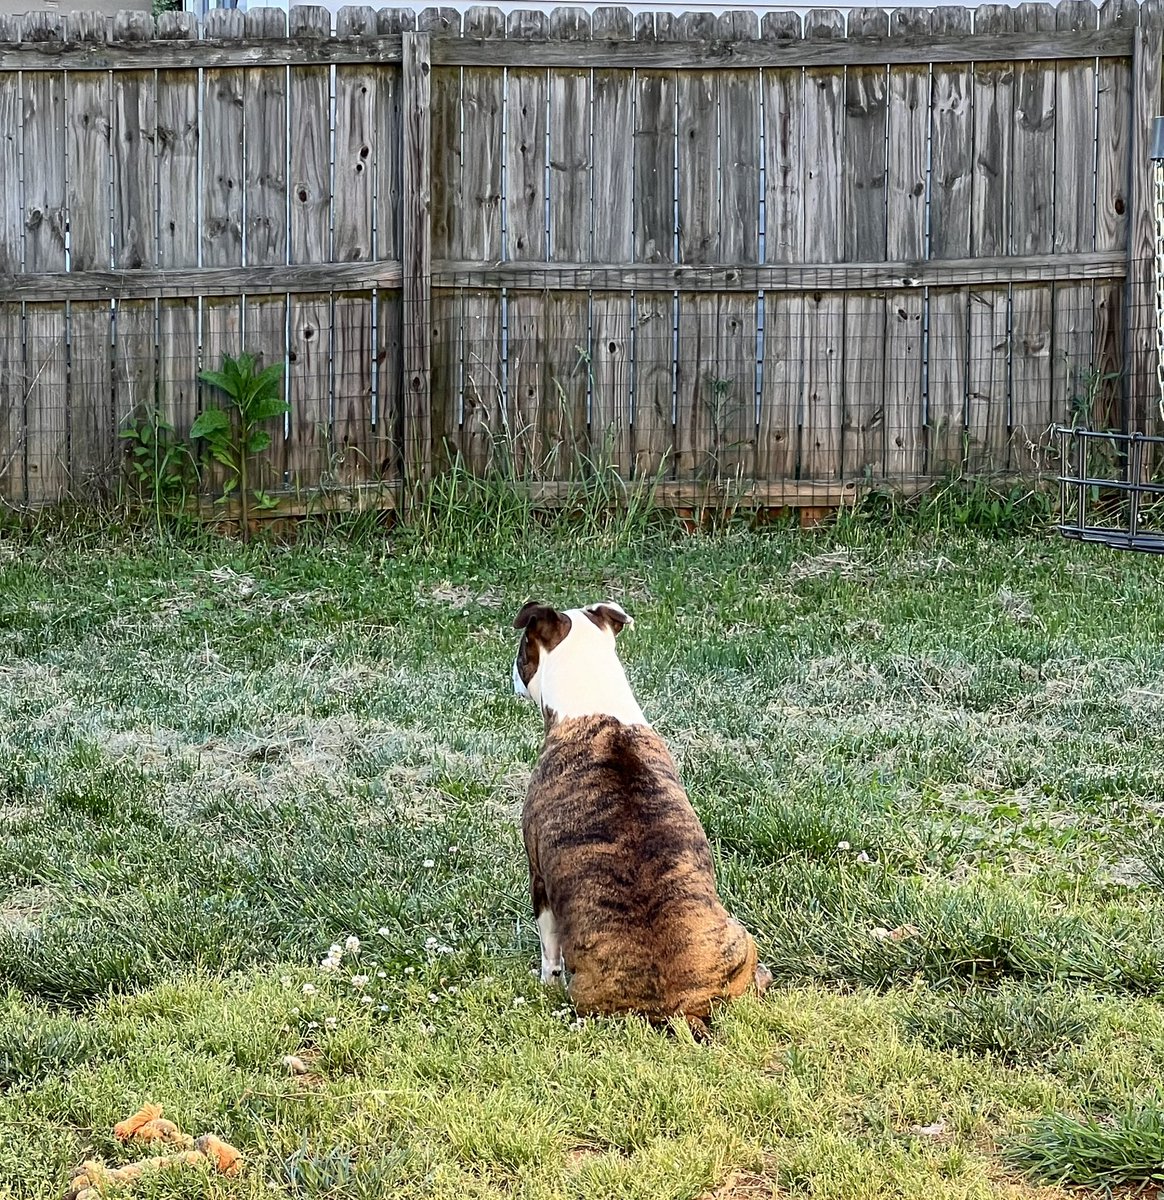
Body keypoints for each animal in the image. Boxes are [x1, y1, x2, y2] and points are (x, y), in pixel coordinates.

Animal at [511, 600, 768, 1032]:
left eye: (521, 650)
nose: (512, 674)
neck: (597, 708)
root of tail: (682, 1006)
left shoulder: (539, 878)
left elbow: (549, 950)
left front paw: (545, 980)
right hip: (740, 937)